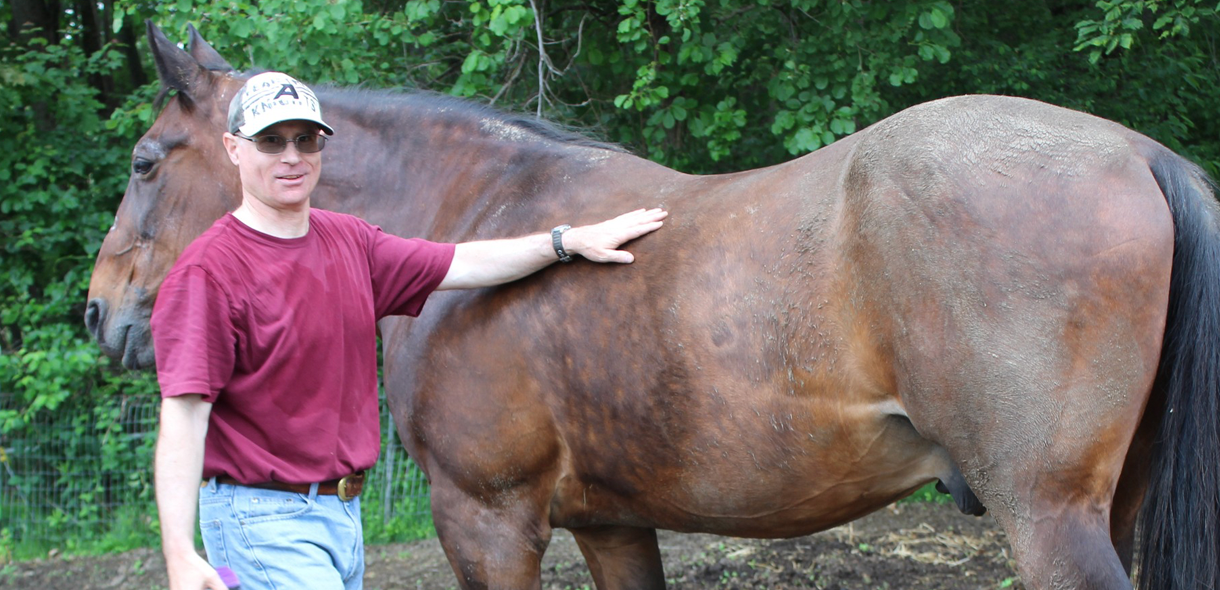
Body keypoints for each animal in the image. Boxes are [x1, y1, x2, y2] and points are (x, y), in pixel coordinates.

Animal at [86, 23, 1220, 590]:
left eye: (145, 161)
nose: (100, 314)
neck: (475, 208)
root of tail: (1142, 154)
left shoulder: (487, 519)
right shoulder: (613, 523)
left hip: (1048, 518)